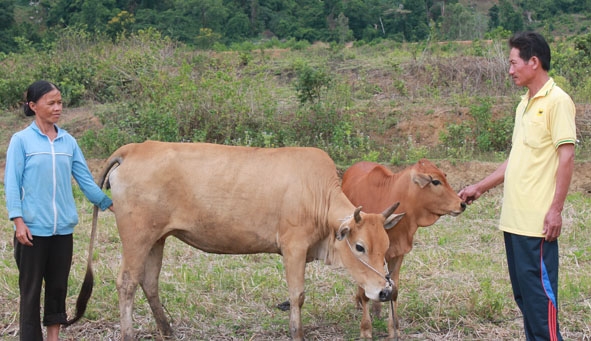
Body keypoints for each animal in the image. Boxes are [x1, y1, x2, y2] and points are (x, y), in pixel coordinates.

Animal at [67, 139, 404, 338]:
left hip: (156, 238)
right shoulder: (293, 247)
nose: (386, 291)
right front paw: (297, 333)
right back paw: (129, 333)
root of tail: (134, 148)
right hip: (137, 236)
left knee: (148, 282)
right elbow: (297, 296)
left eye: (385, 247)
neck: (317, 194)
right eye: (359, 247)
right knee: (127, 282)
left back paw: (167, 330)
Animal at [342, 158, 468, 338]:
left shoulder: (397, 254)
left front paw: (394, 330)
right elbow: (365, 290)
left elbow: (393, 290)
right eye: (436, 181)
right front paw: (366, 330)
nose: (462, 204)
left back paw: (377, 308)